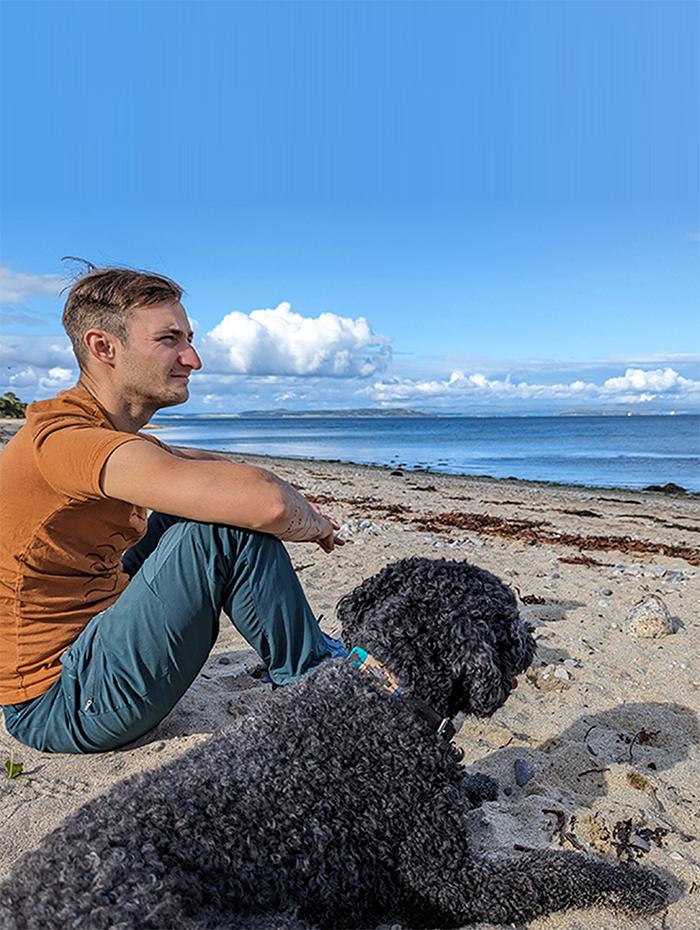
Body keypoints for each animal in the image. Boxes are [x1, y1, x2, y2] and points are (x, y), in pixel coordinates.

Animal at [0, 556, 668, 924]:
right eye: (508, 619)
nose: (531, 641)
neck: (385, 690)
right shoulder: (456, 881)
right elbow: (561, 870)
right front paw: (634, 884)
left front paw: (475, 778)